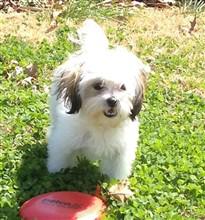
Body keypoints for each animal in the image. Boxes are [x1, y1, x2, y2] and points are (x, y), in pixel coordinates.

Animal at [46, 19, 150, 180]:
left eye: (123, 87)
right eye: (98, 85)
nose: (113, 100)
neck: (101, 123)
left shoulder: (121, 151)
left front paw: (116, 182)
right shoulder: (64, 142)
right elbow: (60, 158)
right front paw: (57, 172)